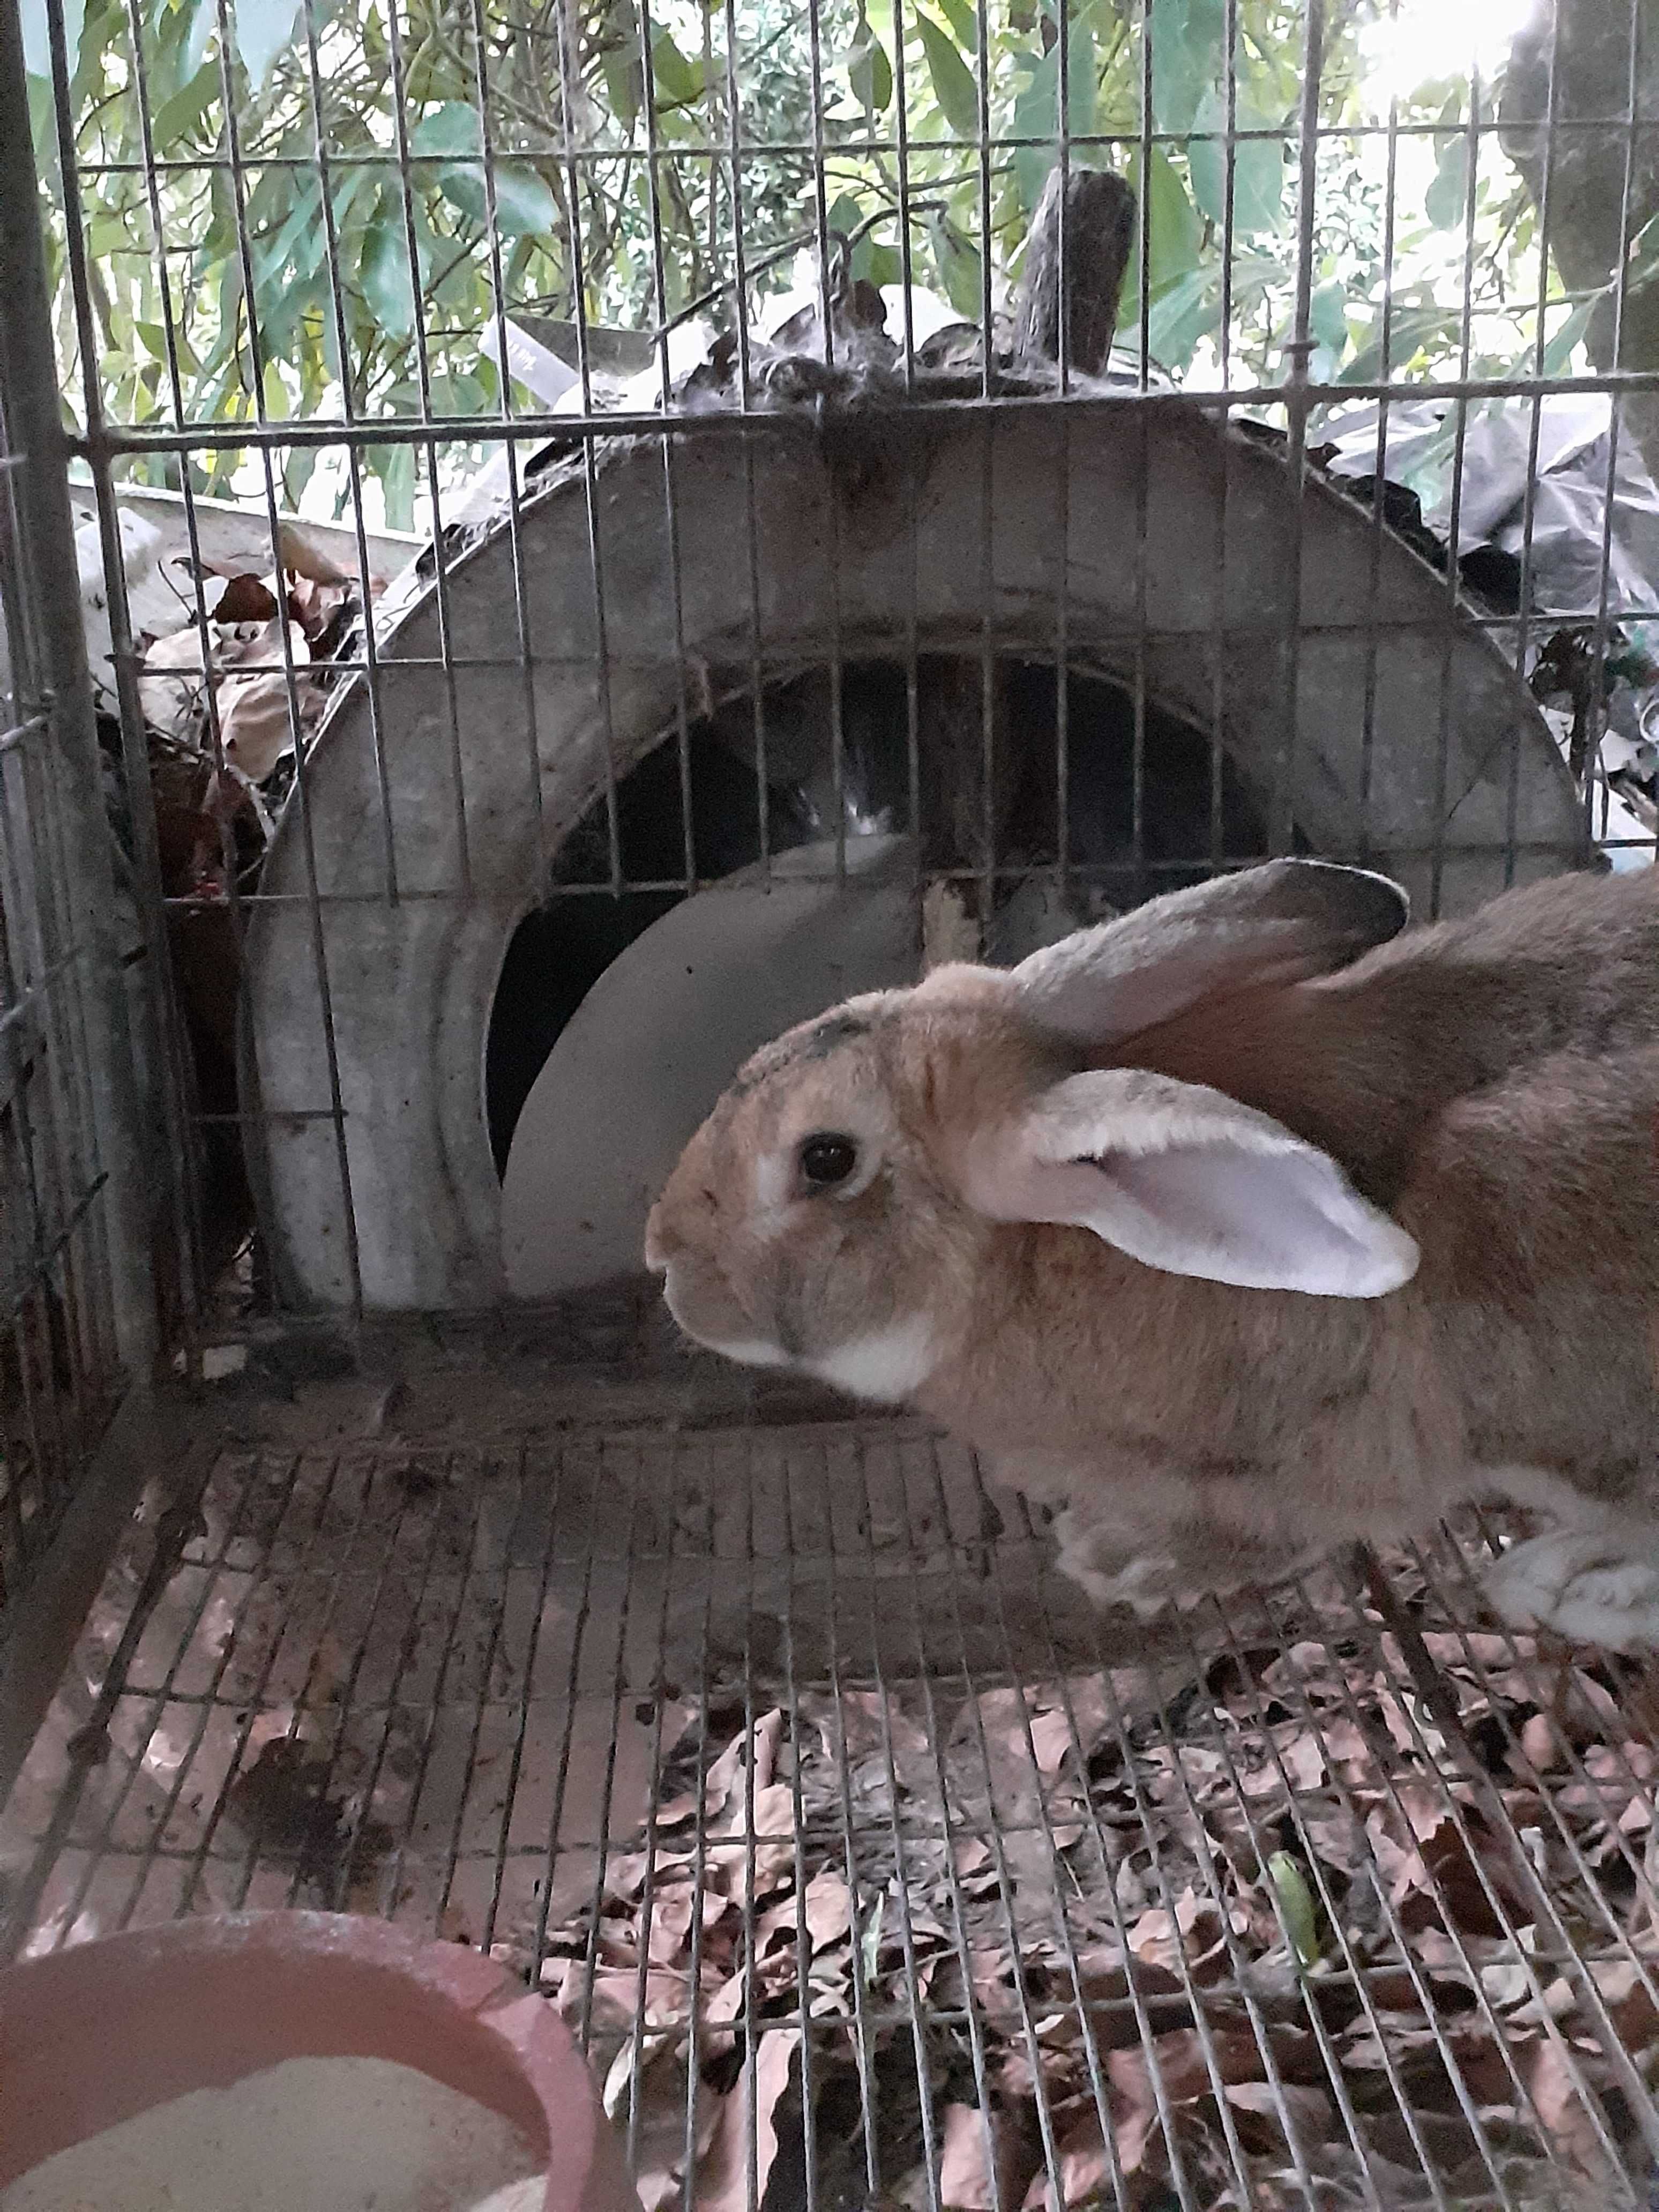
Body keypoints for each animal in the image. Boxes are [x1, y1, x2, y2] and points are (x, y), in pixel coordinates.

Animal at [646, 858, 1659, 1646]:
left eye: (825, 1159)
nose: (663, 1258)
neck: (1019, 1267)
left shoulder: (1323, 1451)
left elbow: (1284, 1527)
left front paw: (1123, 1561)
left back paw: (1567, 1585)